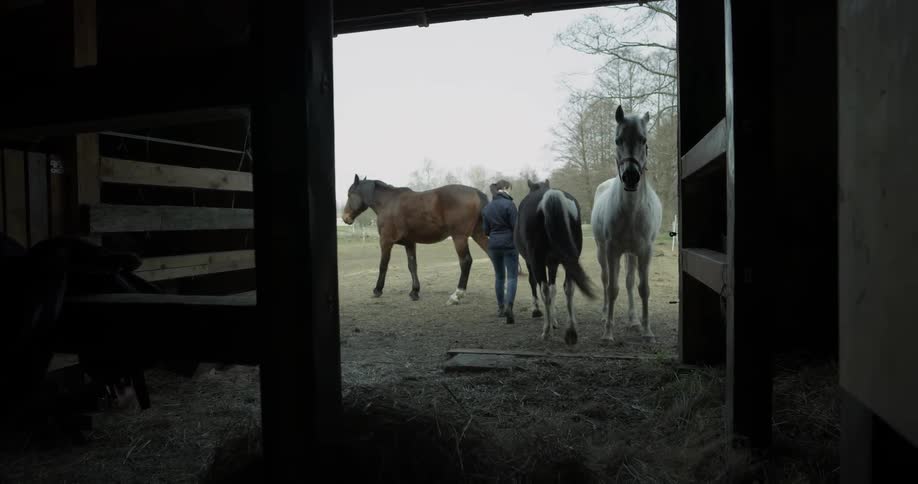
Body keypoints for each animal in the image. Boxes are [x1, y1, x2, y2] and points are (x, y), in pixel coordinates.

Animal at [341, 175, 490, 305]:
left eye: (349, 194)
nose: (345, 218)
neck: (388, 203)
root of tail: (476, 192)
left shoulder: (386, 241)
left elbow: (383, 265)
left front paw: (378, 290)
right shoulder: (410, 243)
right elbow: (412, 266)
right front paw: (414, 292)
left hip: (459, 237)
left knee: (466, 261)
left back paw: (456, 295)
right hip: (478, 234)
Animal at [514, 179, 596, 345]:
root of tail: (550, 196)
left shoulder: (531, 262)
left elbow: (536, 284)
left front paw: (539, 313)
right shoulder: (553, 263)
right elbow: (554, 288)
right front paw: (554, 319)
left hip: (537, 260)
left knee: (544, 289)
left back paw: (546, 331)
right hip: (571, 257)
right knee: (569, 287)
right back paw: (571, 332)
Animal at [591, 105, 663, 342]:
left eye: (643, 140)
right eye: (618, 140)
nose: (631, 177)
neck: (631, 211)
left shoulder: (645, 251)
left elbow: (643, 288)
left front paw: (647, 330)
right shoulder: (612, 250)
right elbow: (612, 288)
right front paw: (607, 333)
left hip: (631, 253)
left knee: (630, 282)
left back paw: (633, 320)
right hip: (602, 251)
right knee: (606, 281)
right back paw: (605, 313)